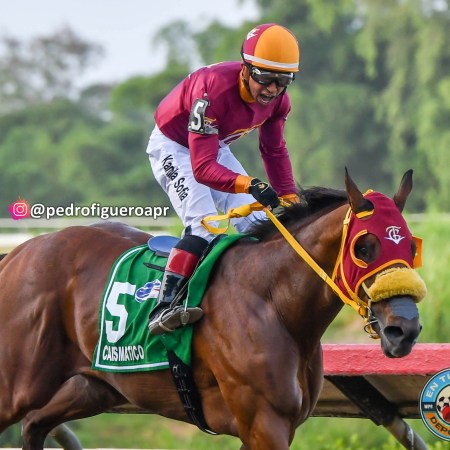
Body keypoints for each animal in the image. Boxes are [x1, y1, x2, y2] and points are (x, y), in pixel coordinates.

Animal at [0, 170, 425, 450]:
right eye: (364, 247)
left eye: (410, 246)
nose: (404, 329)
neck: (273, 301)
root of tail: (19, 252)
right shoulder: (264, 423)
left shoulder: (276, 427)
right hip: (20, 384)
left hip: (95, 385)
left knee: (34, 425)